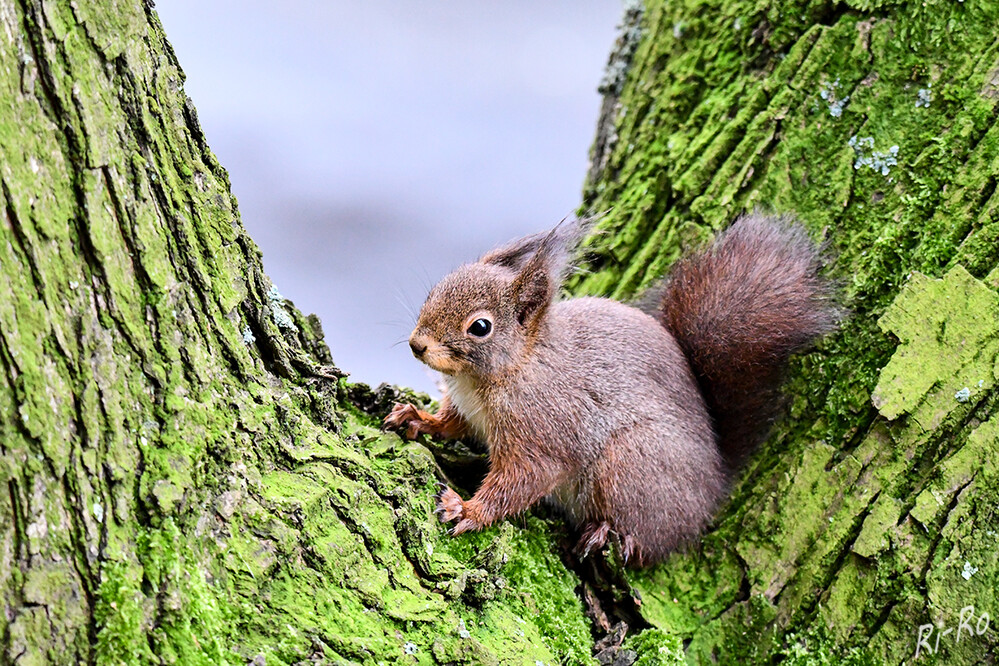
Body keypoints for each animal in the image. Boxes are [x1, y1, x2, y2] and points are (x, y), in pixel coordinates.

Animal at [386, 213, 840, 564]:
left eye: (480, 327)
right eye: (438, 288)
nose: (417, 344)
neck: (501, 373)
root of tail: (713, 486)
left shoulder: (543, 432)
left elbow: (522, 481)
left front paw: (468, 509)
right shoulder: (467, 410)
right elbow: (451, 423)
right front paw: (417, 418)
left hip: (629, 464)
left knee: (649, 541)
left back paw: (610, 534)